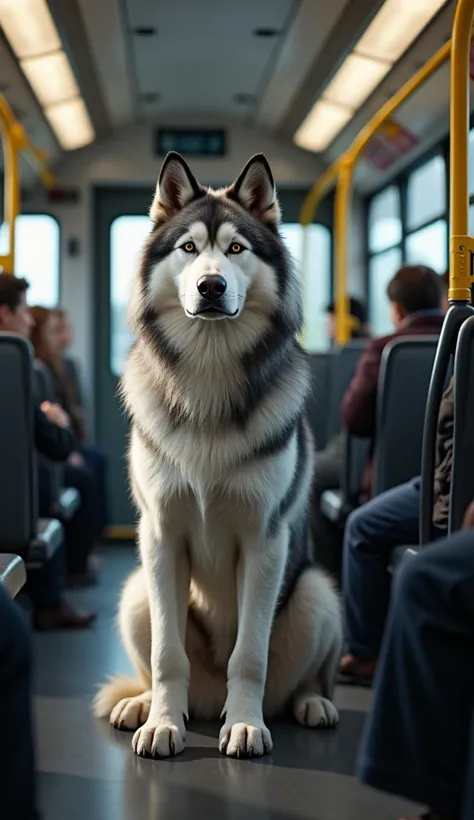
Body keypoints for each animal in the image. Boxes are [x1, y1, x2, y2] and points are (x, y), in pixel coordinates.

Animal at [94, 152, 342, 756]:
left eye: (235, 249)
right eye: (188, 248)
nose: (211, 286)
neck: (208, 378)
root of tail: (207, 703)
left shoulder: (265, 541)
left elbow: (249, 654)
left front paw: (247, 724)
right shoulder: (160, 538)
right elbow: (167, 653)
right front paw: (163, 722)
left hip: (318, 595)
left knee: (304, 677)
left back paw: (308, 703)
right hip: (135, 592)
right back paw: (144, 704)